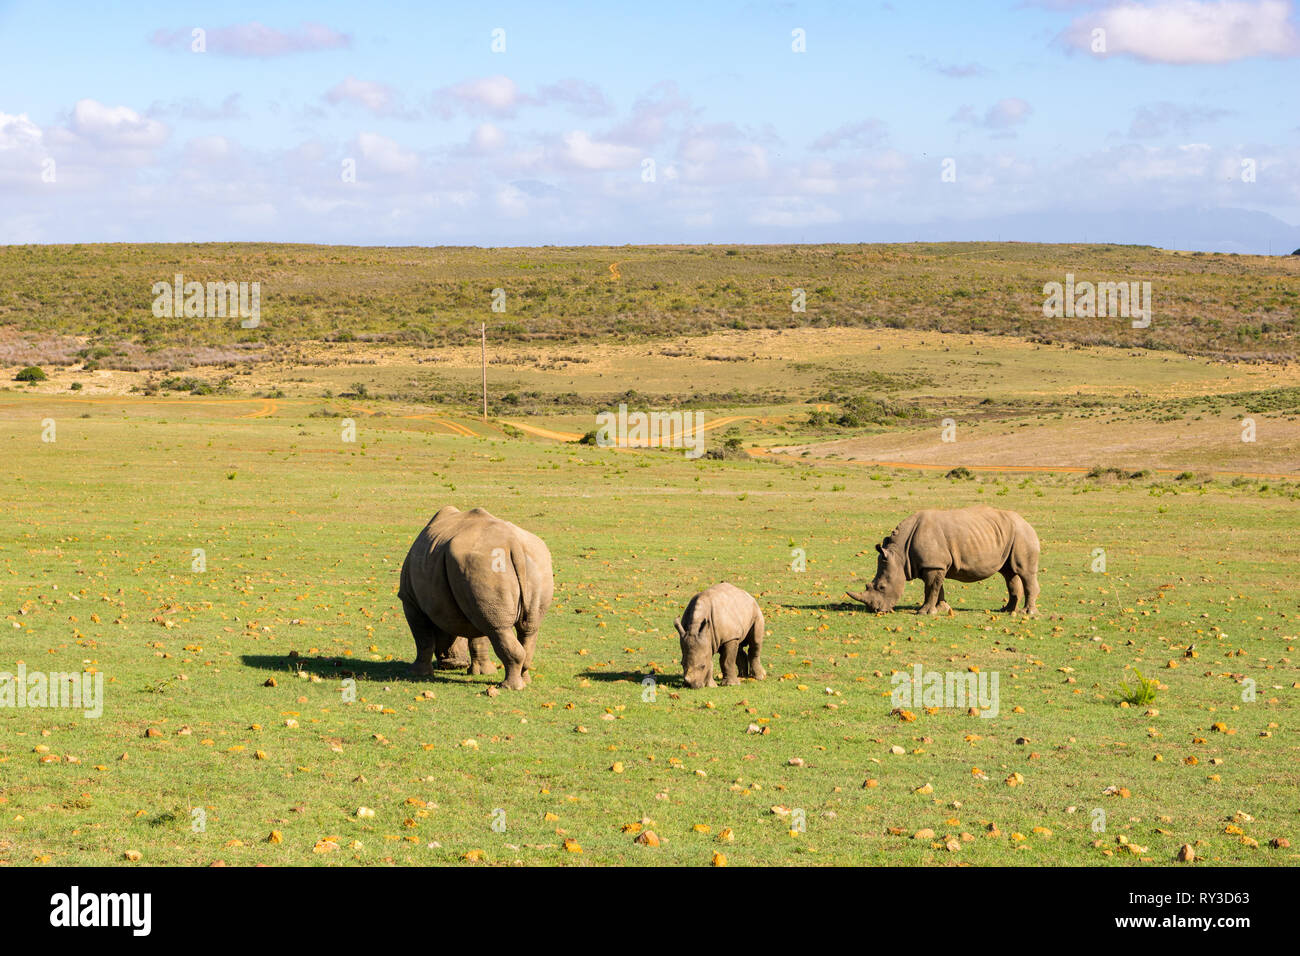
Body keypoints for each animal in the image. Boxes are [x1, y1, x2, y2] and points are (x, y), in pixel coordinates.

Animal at [400, 504, 553, 691]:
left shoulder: (410, 601)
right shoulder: (472, 599)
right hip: (531, 561)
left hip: (487, 563)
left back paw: (509, 687)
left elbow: (422, 638)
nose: (456, 664)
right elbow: (479, 638)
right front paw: (483, 672)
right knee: (527, 628)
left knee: (499, 629)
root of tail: (514, 543)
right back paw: (525, 681)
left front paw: (417, 673)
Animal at [847, 504, 1040, 616]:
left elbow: (931, 588)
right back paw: (1007, 610)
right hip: (1010, 535)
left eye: (881, 587)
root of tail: (1026, 522)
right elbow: (936, 588)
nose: (876, 610)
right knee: (1009, 573)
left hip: (1022, 534)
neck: (899, 554)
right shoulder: (934, 564)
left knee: (1025, 572)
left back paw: (1027, 613)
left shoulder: (934, 565)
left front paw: (924, 612)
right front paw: (941, 609)